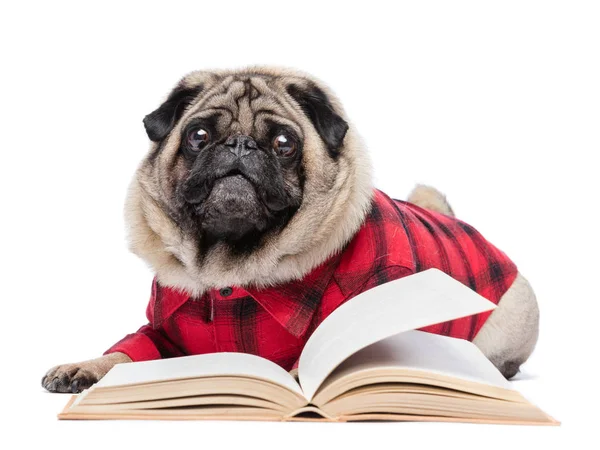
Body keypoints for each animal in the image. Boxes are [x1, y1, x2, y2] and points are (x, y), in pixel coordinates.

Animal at [42, 67, 540, 394]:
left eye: (284, 143)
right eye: (198, 136)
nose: (239, 144)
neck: (232, 267)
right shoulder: (165, 330)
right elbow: (130, 350)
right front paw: (87, 366)